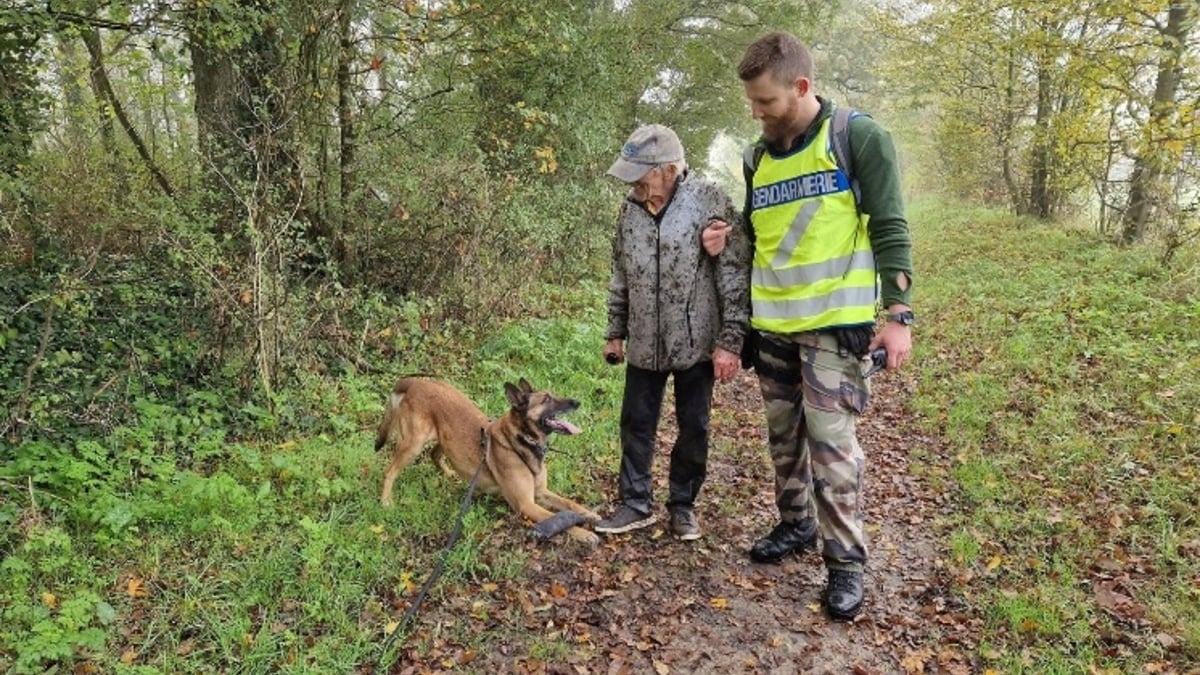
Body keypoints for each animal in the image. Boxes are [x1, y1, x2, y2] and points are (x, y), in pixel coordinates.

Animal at [374, 374, 600, 542]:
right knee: (389, 471)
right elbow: (556, 519)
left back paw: (450, 474)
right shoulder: (526, 504)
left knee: (434, 454)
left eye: (553, 394)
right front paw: (583, 533)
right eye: (546, 399)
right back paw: (385, 501)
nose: (577, 402)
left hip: (444, 438)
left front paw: (590, 515)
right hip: (413, 444)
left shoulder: (542, 492)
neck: (520, 440)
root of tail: (415, 382)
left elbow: (570, 504)